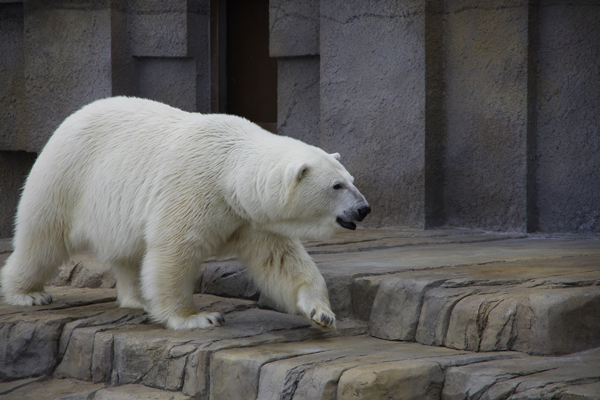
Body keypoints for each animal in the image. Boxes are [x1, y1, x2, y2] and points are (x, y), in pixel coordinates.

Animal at [1, 97, 370, 332]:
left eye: (351, 179)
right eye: (337, 185)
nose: (364, 209)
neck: (229, 169)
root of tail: (69, 120)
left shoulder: (252, 217)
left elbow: (281, 260)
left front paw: (321, 313)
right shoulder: (194, 187)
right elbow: (174, 252)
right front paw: (196, 318)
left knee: (129, 252)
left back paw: (139, 299)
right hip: (67, 177)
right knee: (42, 238)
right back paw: (28, 293)